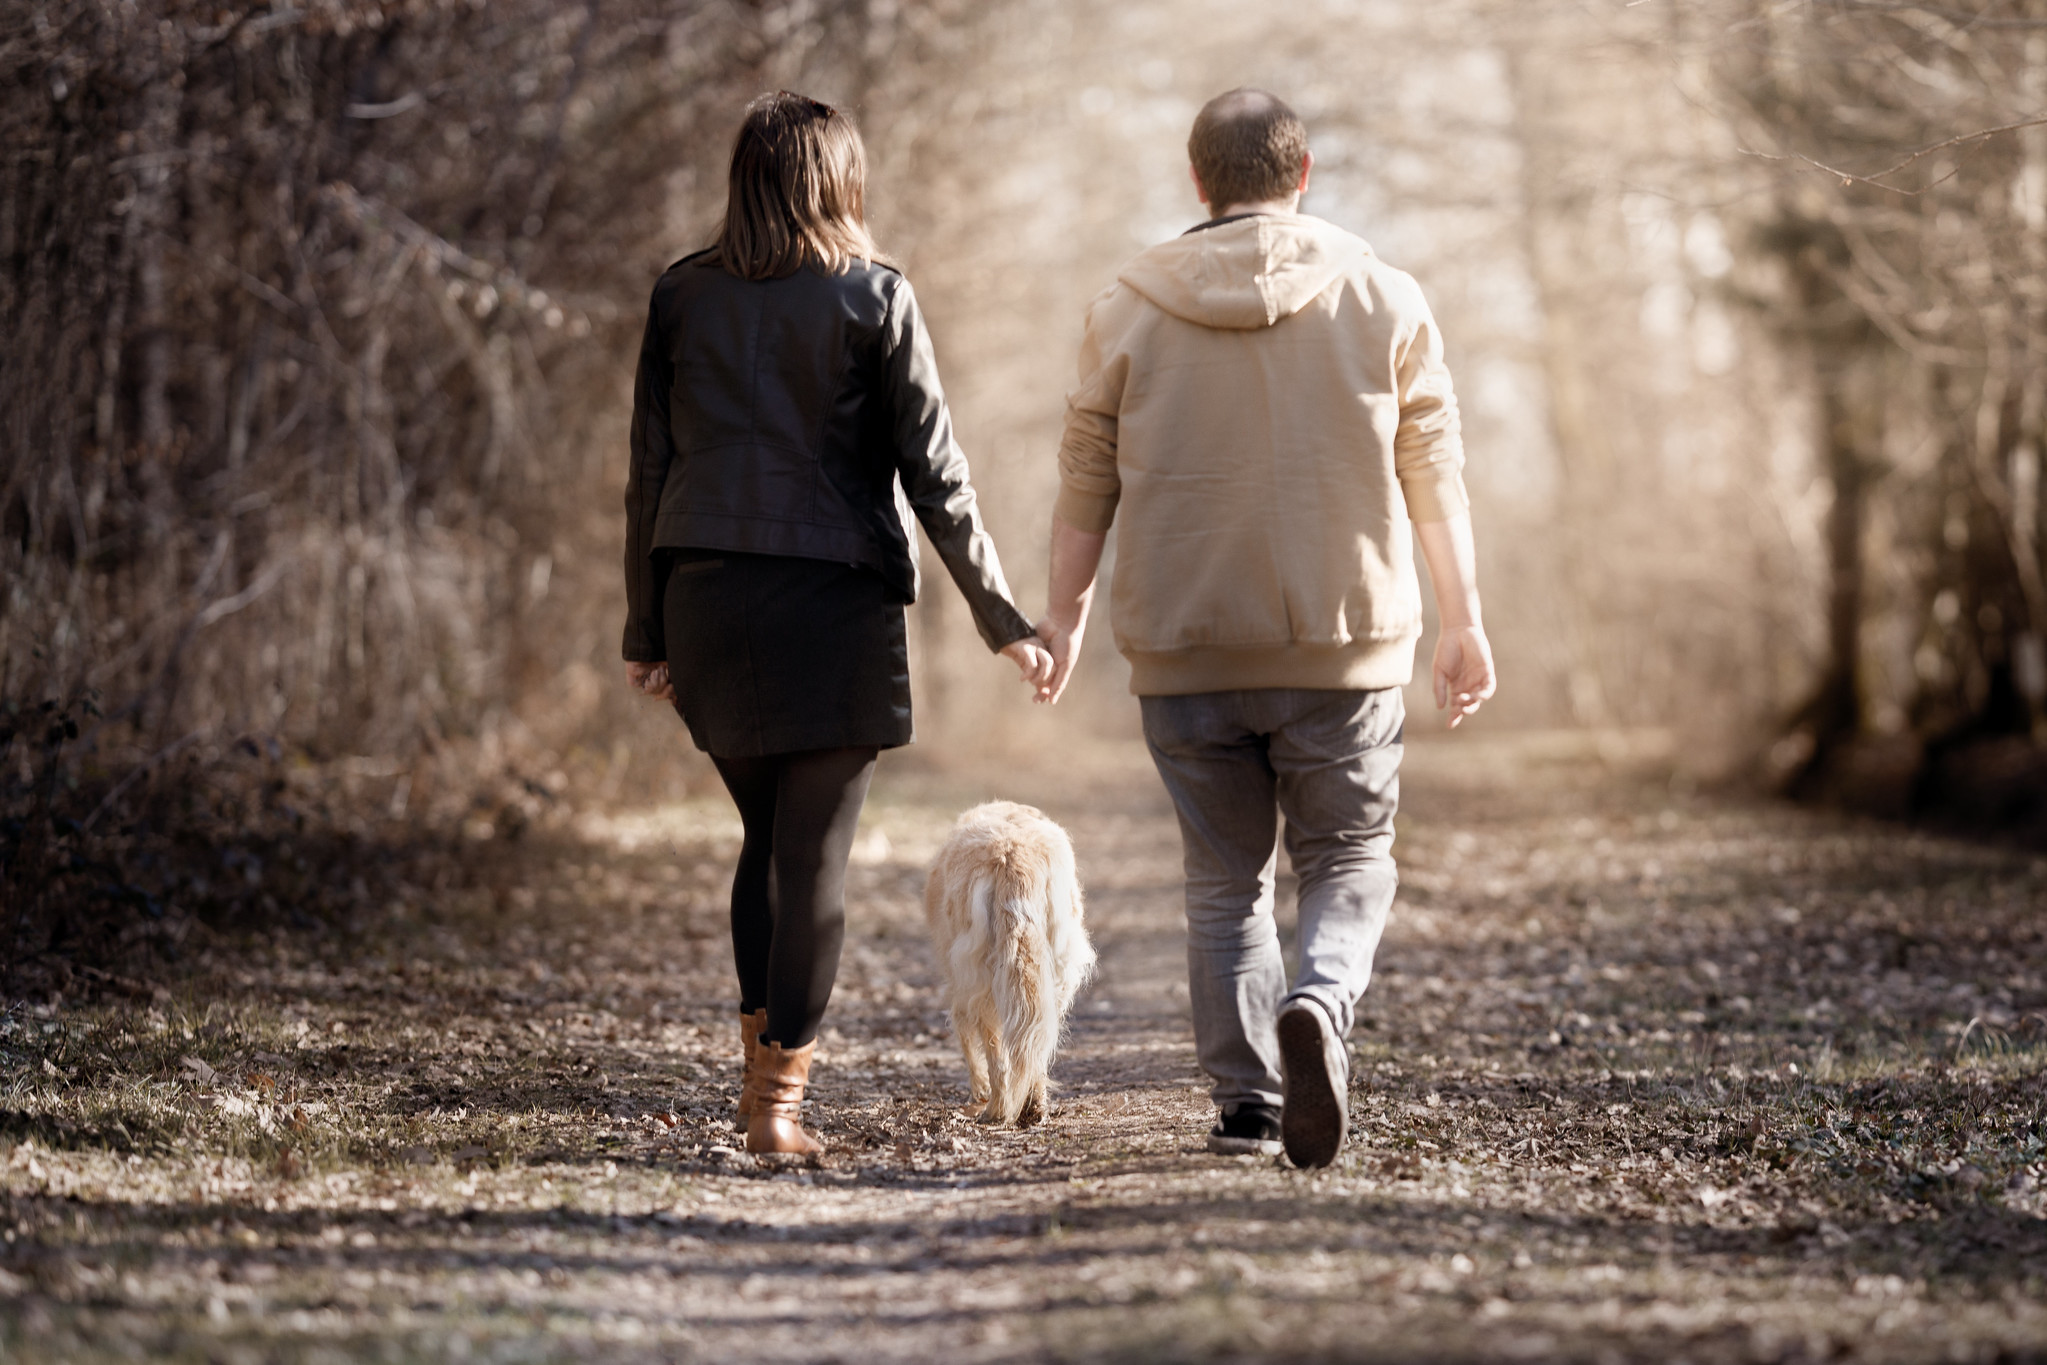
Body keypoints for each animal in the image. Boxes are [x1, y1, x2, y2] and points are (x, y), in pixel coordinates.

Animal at [925, 806, 1097, 1129]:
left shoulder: (959, 981)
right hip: (1055, 968)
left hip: (977, 974)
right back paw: (1033, 1107)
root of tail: (1012, 855)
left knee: (996, 1052)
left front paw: (979, 1090)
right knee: (1037, 1042)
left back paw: (996, 1108)